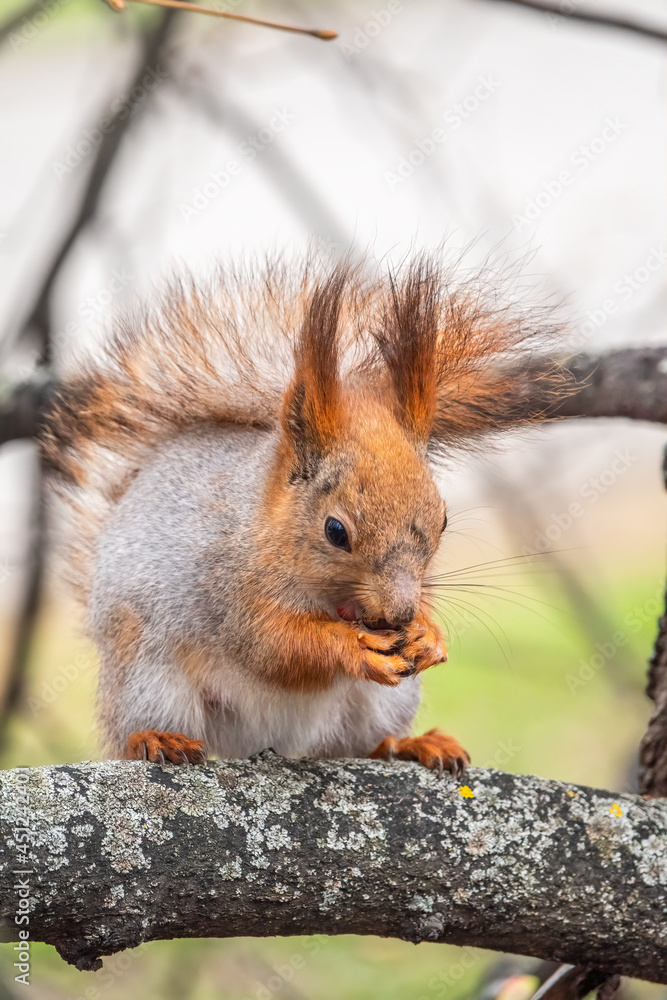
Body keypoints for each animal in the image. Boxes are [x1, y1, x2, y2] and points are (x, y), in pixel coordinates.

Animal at [41, 254, 561, 775]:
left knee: (358, 746)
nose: (400, 612)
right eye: (335, 531)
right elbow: (275, 646)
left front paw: (429, 635)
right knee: (135, 729)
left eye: (443, 521)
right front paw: (351, 646)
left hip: (382, 704)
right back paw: (156, 740)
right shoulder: (227, 593)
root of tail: (267, 742)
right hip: (147, 676)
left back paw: (411, 744)